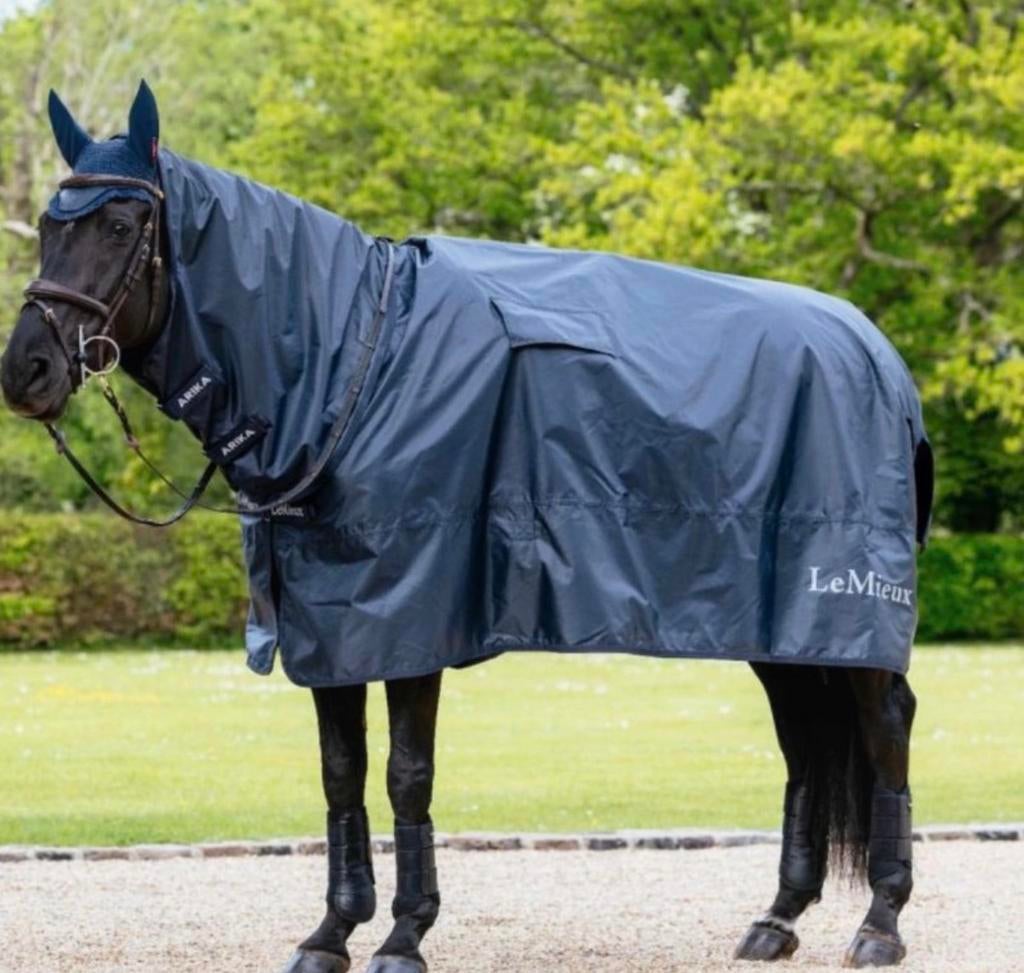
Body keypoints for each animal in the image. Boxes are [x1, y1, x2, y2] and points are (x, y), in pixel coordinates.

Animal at [1, 82, 932, 971]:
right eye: (47, 223)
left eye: (121, 222)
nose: (26, 369)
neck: (355, 362)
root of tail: (880, 356)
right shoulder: (331, 631)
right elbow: (341, 776)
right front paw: (331, 932)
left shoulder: (414, 622)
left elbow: (406, 777)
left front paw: (403, 935)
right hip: (780, 628)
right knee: (805, 742)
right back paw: (778, 919)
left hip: (845, 606)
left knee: (885, 727)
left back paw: (881, 923)